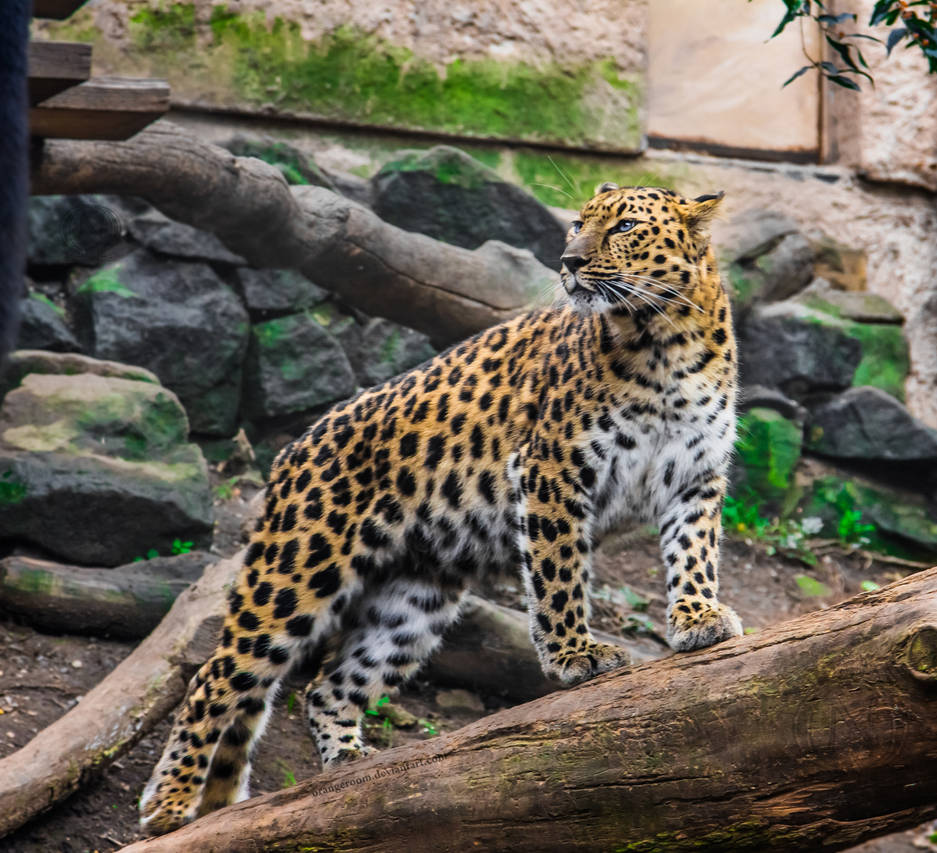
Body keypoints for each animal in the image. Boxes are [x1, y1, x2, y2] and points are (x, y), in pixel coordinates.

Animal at [140, 183, 742, 835]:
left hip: (417, 598)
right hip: (297, 570)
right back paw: (169, 803)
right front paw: (574, 656)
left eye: (625, 226)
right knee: (215, 677)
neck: (666, 338)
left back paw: (349, 768)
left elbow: (694, 555)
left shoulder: (696, 478)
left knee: (326, 686)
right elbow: (560, 575)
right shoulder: (551, 469)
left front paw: (699, 618)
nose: (569, 262)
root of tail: (292, 449)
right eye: (577, 224)